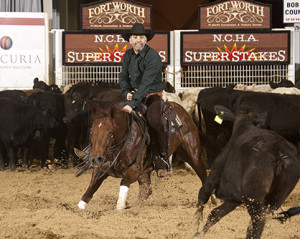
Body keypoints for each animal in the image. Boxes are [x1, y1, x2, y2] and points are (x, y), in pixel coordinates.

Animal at [75, 95, 206, 211]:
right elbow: (91, 189)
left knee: (202, 172)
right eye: (91, 131)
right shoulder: (100, 169)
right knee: (145, 190)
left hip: (192, 154)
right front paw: (79, 207)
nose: (94, 158)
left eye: (110, 132)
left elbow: (124, 182)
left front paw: (120, 206)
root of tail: (179, 108)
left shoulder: (135, 170)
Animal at [195, 105, 300, 239]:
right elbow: (215, 213)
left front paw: (195, 230)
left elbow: (202, 199)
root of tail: (279, 150)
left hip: (254, 198)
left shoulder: (213, 178)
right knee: (254, 226)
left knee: (256, 225)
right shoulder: (234, 198)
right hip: (274, 200)